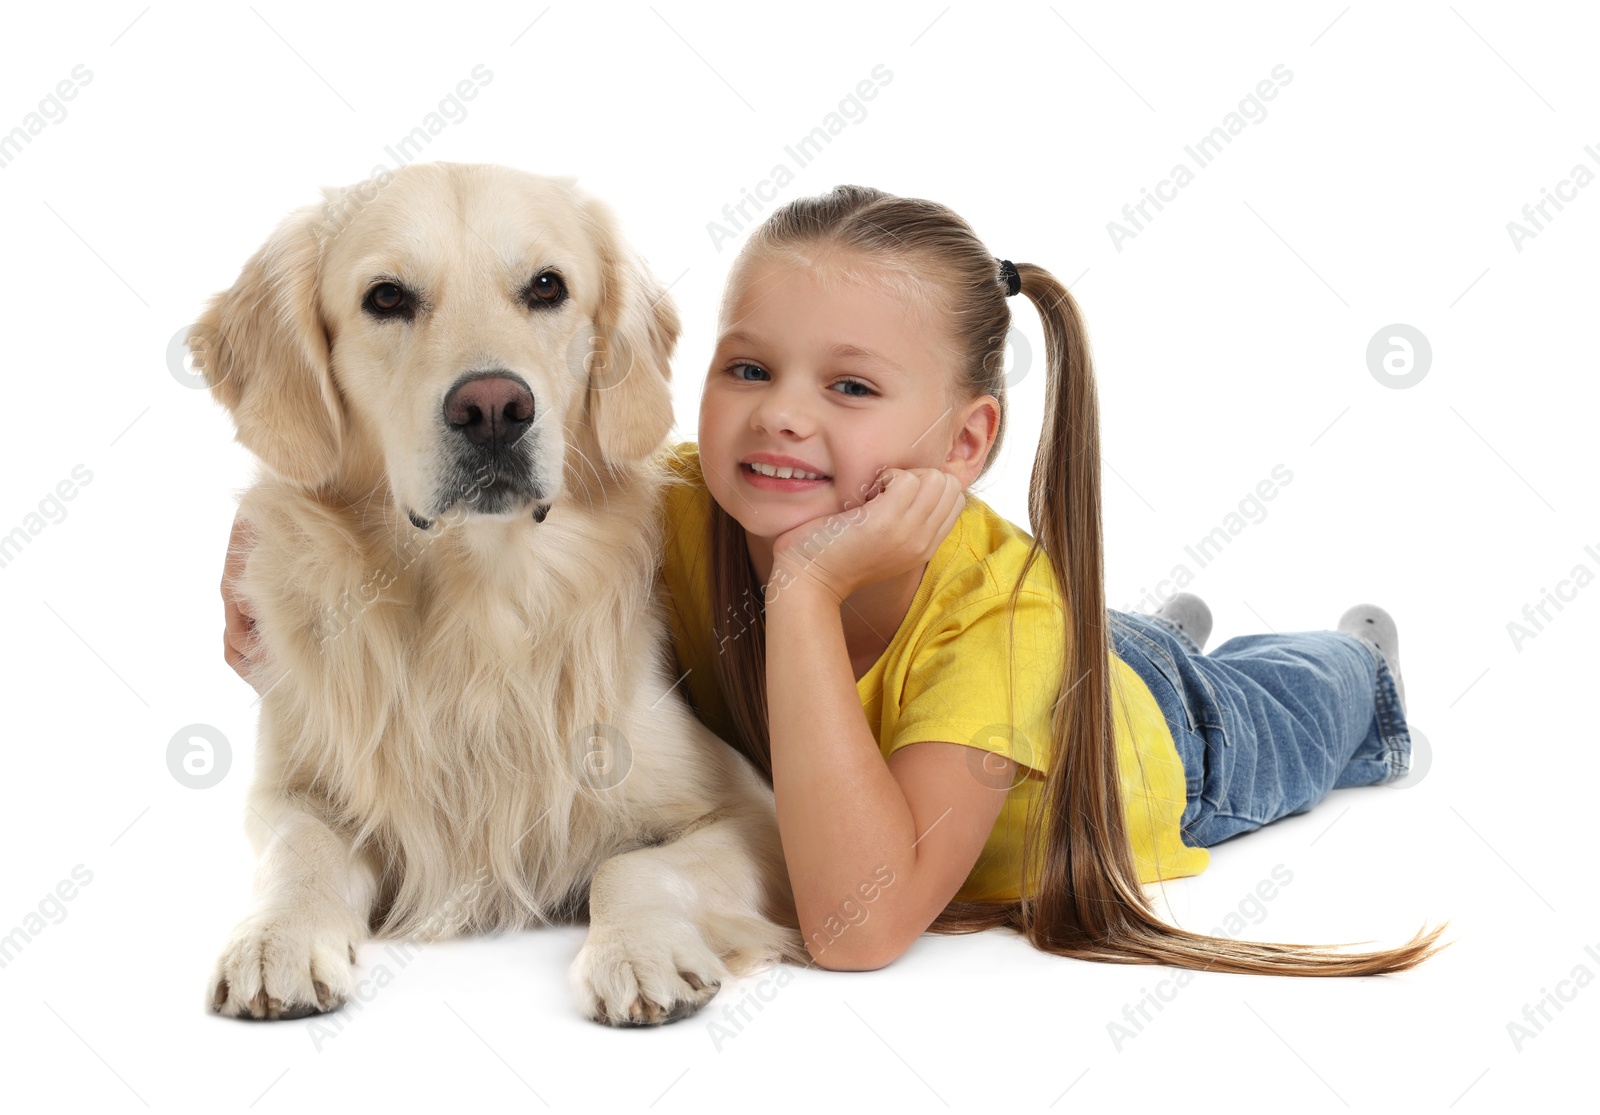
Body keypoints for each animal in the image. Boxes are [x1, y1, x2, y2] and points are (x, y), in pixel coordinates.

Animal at [190, 160, 800, 1023]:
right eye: (386, 297)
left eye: (547, 287)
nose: (492, 409)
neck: (473, 601)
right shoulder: (292, 783)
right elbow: (300, 847)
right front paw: (277, 939)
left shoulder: (754, 813)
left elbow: (632, 864)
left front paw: (640, 951)